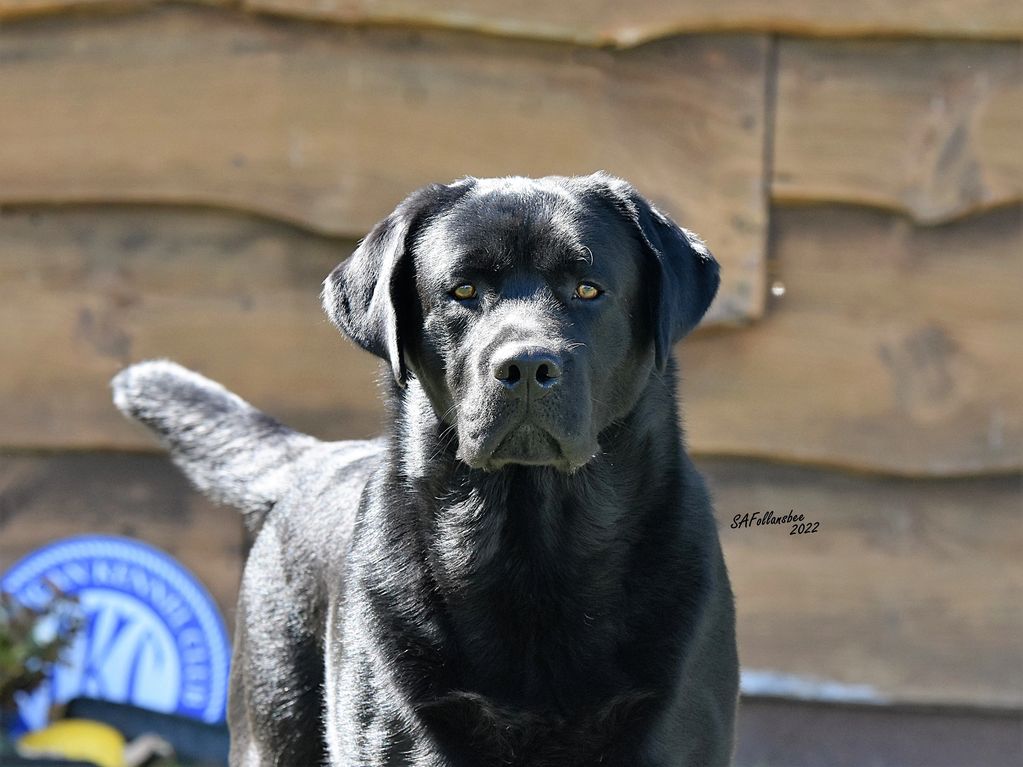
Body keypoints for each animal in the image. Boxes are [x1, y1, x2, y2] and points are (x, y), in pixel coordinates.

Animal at [109, 173, 736, 767]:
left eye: (588, 289)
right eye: (462, 290)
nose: (526, 365)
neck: (531, 547)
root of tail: (313, 458)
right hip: (274, 724)